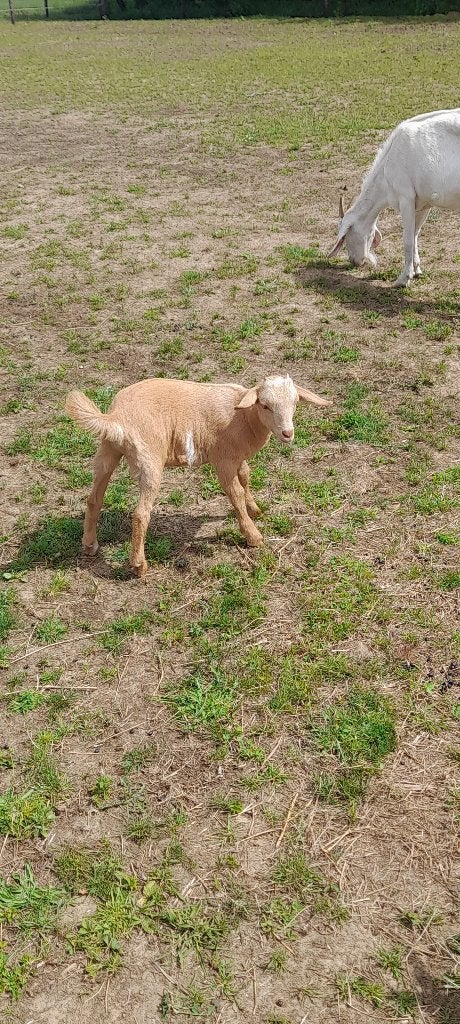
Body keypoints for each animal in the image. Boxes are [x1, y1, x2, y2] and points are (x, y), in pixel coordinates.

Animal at [65, 374, 331, 577]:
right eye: (264, 405)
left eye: (295, 403)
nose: (288, 433)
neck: (245, 418)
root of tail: (115, 417)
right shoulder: (223, 460)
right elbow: (235, 493)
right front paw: (253, 535)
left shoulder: (237, 456)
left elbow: (246, 476)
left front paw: (254, 509)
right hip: (150, 458)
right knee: (141, 514)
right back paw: (139, 565)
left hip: (107, 450)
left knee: (94, 498)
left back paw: (89, 545)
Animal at [328, 108, 460, 286]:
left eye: (347, 235)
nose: (354, 261)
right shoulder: (423, 203)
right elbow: (415, 234)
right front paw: (417, 270)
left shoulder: (406, 198)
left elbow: (407, 240)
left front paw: (404, 279)